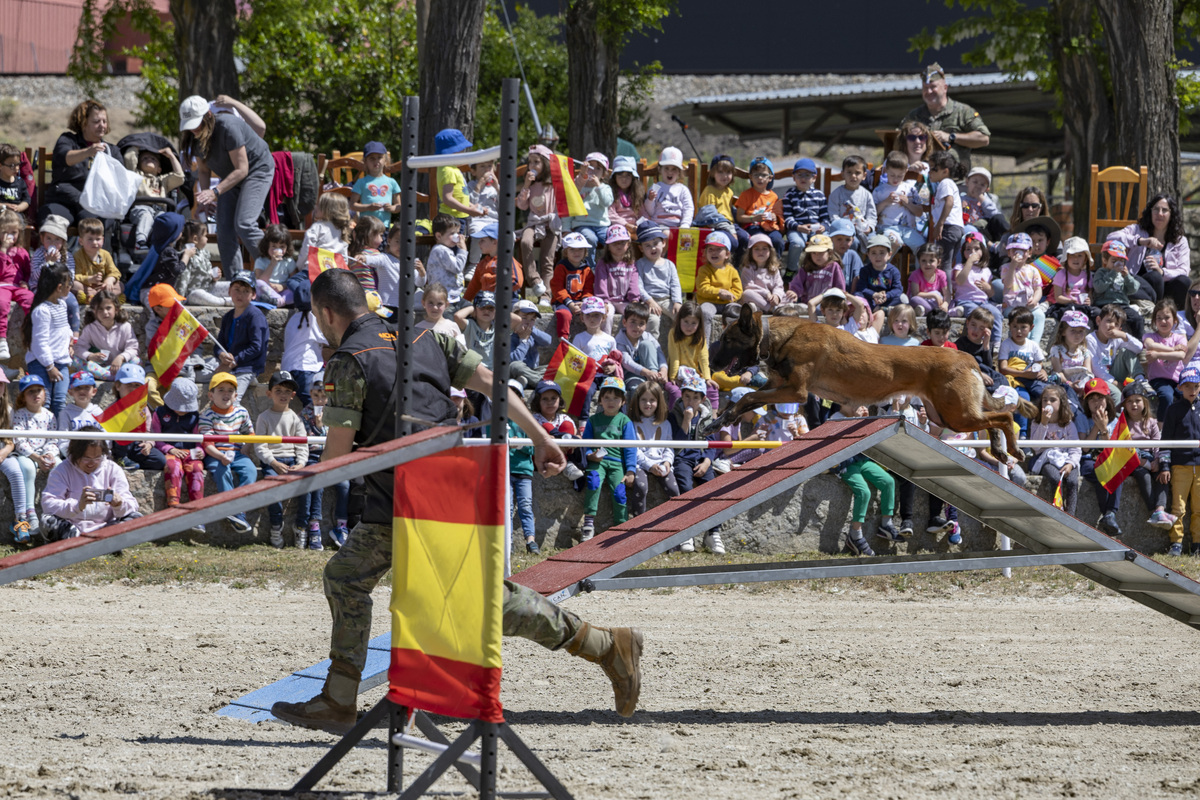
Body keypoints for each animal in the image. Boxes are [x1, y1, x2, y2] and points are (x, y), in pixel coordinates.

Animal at [705, 307, 1036, 462]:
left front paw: (720, 418)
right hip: (946, 416)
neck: (778, 337)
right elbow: (744, 400)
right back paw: (1000, 449)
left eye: (727, 339)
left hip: (956, 415)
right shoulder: (775, 388)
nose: (710, 363)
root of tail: (966, 356)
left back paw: (1012, 450)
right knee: (992, 419)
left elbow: (747, 398)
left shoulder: (796, 392)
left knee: (1003, 415)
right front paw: (719, 420)